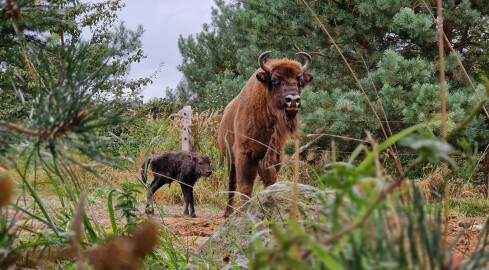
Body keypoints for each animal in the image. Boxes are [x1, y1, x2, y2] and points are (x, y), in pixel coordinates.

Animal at [217, 50, 312, 217]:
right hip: (229, 158)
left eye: (300, 81)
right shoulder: (244, 154)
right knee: (231, 182)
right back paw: (228, 212)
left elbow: (270, 184)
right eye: (275, 80)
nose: (293, 100)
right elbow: (245, 185)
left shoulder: (275, 156)